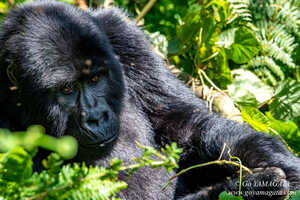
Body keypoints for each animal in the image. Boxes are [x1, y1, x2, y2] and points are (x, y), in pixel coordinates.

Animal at [0, 0, 300, 199]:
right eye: (67, 89)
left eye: (95, 79)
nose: (97, 117)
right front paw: (244, 190)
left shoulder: (121, 35)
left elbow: (187, 124)